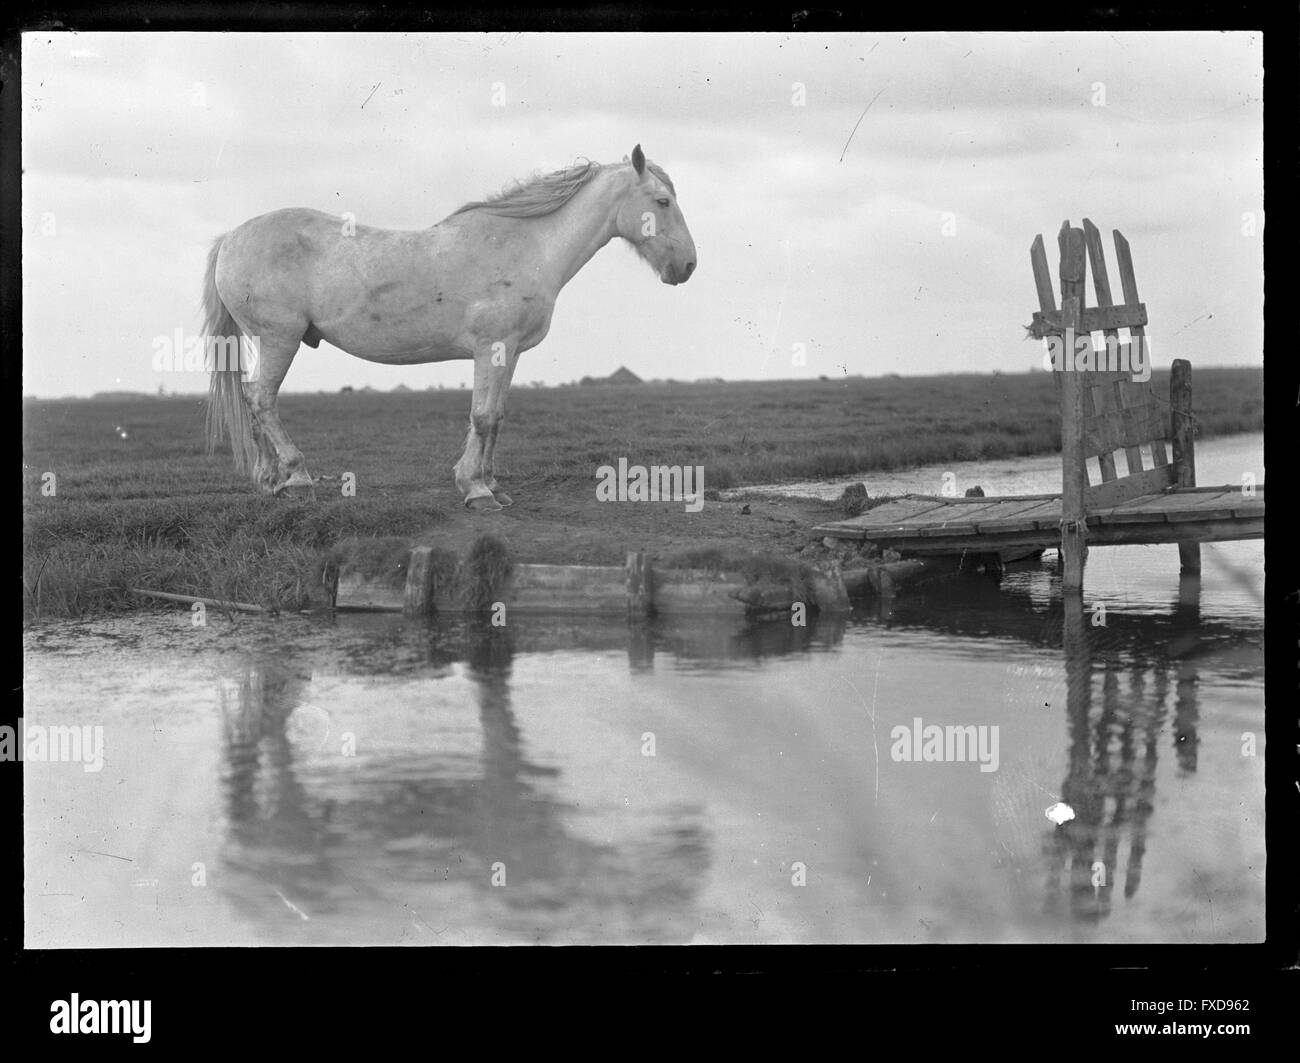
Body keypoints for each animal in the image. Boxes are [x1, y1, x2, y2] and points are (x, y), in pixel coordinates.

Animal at [201, 144, 696, 509]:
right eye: (663, 201)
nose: (687, 265)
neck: (526, 246)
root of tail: (231, 237)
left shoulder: (509, 351)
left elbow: (496, 416)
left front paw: (490, 485)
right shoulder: (491, 347)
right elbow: (482, 416)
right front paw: (476, 490)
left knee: (255, 401)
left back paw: (271, 480)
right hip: (279, 339)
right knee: (261, 399)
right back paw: (298, 478)